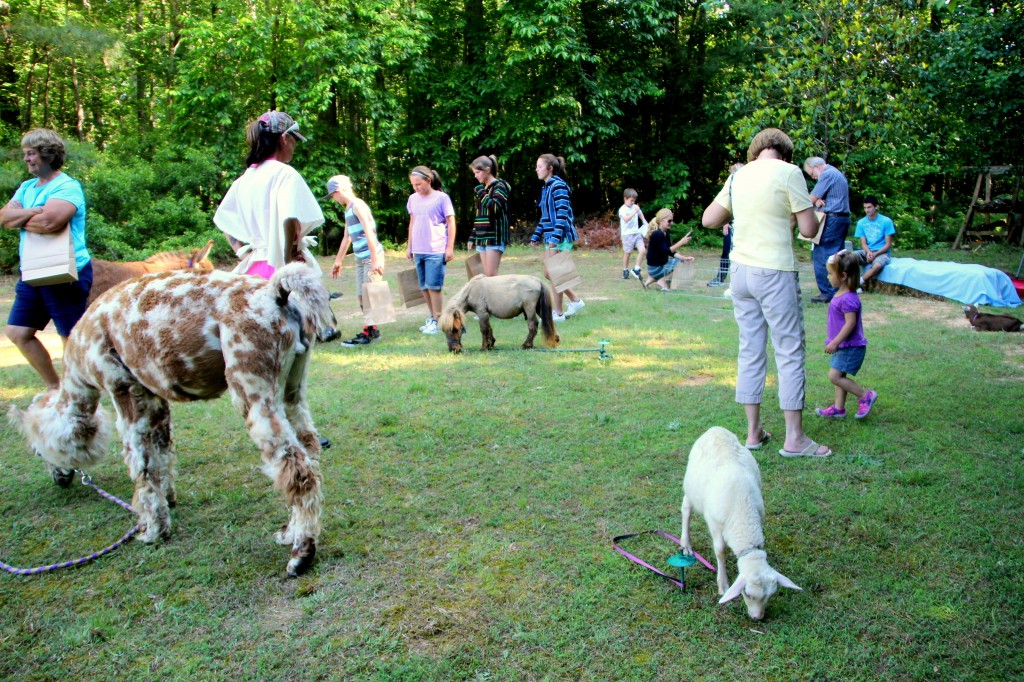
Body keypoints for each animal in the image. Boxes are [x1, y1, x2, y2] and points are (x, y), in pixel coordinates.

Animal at [9, 262, 335, 577]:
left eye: (38, 451)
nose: (59, 478)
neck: (81, 356)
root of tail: (274, 293)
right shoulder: (152, 397)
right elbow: (160, 455)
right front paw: (168, 501)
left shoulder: (122, 387)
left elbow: (139, 461)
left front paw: (153, 530)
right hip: (291, 388)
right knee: (308, 450)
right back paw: (289, 533)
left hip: (251, 380)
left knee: (297, 467)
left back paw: (301, 555)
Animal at [679, 428, 798, 618]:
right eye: (747, 593)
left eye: (771, 595)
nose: (757, 618)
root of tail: (715, 428)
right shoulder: (715, 524)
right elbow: (720, 551)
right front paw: (723, 584)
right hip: (691, 488)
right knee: (686, 508)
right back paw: (686, 544)